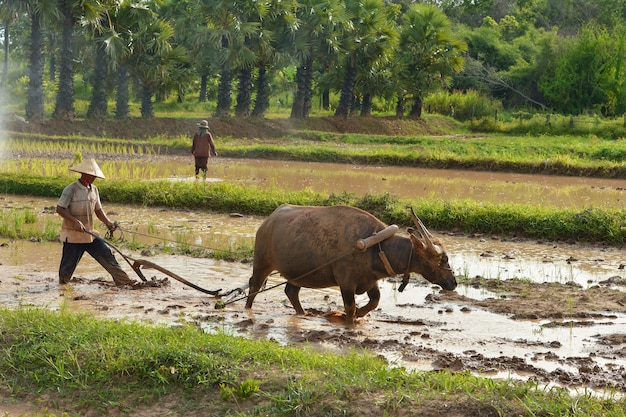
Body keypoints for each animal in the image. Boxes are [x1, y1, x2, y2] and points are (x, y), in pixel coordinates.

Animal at [244, 203, 454, 324]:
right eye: (443, 258)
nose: (453, 283)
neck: (373, 247)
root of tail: (268, 221)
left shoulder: (370, 281)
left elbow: (375, 301)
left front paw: (360, 314)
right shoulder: (346, 283)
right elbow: (350, 308)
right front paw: (349, 319)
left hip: (298, 273)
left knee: (291, 291)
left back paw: (303, 314)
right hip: (262, 263)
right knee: (254, 287)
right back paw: (247, 311)